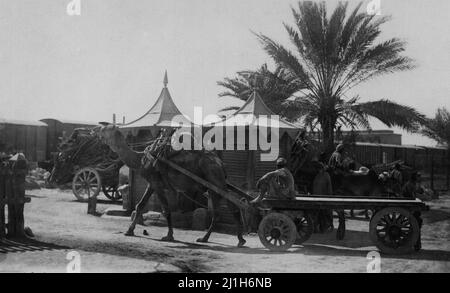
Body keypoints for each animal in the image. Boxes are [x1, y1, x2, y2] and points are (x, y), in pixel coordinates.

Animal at [97, 124, 246, 245]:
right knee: (227, 206)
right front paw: (129, 231)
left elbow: (166, 210)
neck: (141, 160)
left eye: (106, 129)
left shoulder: (157, 184)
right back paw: (231, 239)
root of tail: (220, 163)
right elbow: (140, 206)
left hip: (215, 181)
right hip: (214, 185)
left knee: (225, 208)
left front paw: (169, 236)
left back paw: (217, 239)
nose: (98, 130)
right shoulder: (151, 184)